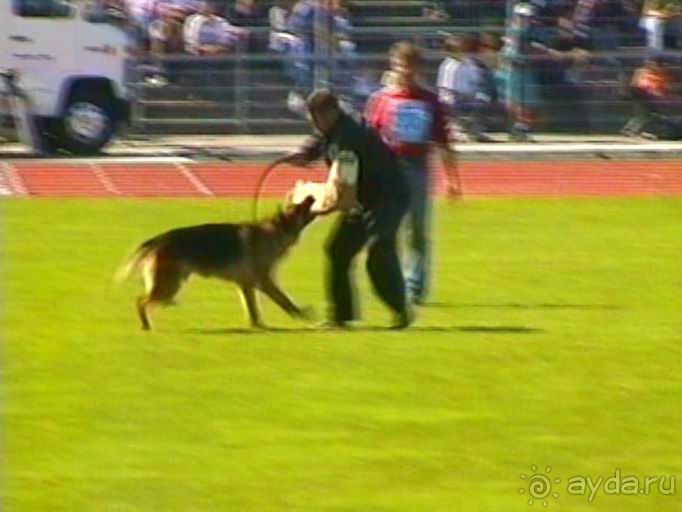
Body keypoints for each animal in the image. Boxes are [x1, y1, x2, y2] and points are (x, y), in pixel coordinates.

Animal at [117, 194, 316, 330]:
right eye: (298, 207)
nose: (311, 196)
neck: (277, 229)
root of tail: (158, 239)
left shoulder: (246, 284)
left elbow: (252, 309)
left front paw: (257, 326)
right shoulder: (264, 282)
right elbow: (285, 301)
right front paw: (302, 315)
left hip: (170, 286)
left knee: (145, 301)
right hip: (169, 286)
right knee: (140, 301)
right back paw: (146, 326)